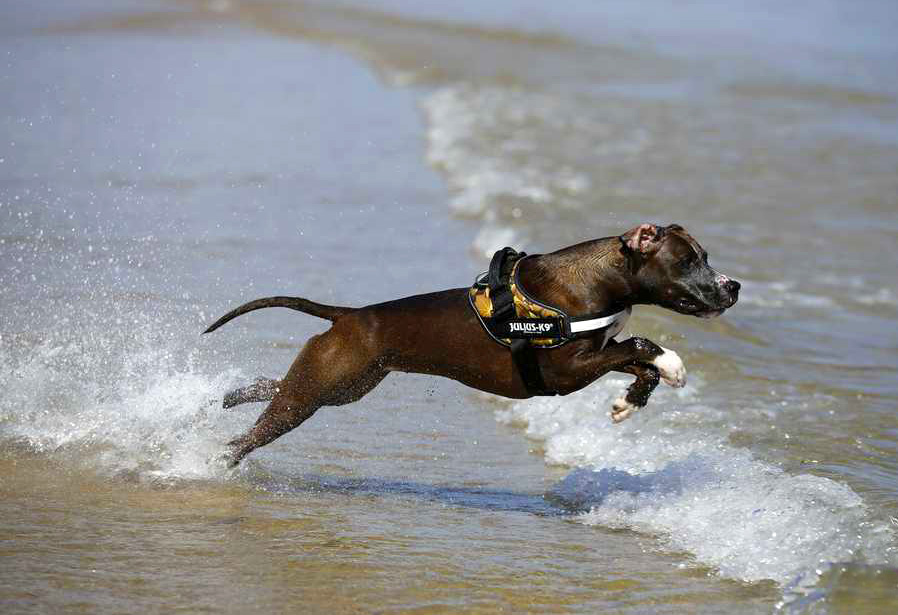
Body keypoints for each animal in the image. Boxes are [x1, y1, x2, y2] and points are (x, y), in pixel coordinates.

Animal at [206, 224, 740, 470]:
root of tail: (350, 315)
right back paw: (215, 461)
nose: (733, 286)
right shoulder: (567, 373)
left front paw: (629, 401)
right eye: (688, 261)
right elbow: (642, 344)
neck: (599, 280)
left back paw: (224, 397)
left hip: (339, 385)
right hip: (317, 392)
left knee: (270, 387)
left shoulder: (594, 357)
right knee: (249, 435)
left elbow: (634, 356)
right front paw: (671, 366)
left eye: (706, 257)